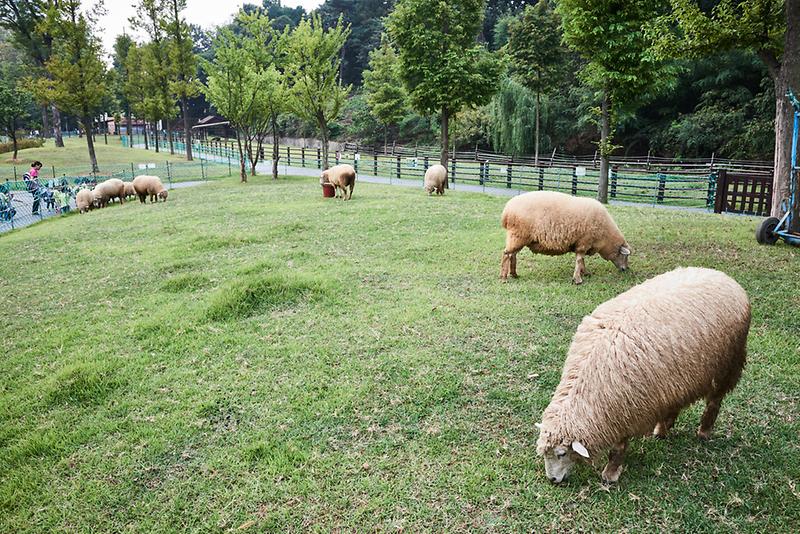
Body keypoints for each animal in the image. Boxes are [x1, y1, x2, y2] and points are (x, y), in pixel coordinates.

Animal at [500, 192, 632, 284]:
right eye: (625, 255)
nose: (625, 269)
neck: (605, 236)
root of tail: (507, 210)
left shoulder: (581, 244)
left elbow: (582, 260)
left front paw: (584, 273)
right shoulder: (584, 242)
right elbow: (579, 260)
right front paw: (578, 279)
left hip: (517, 238)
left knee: (512, 255)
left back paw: (514, 274)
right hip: (518, 236)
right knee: (506, 254)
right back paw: (504, 278)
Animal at [536, 268, 752, 486]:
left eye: (562, 453)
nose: (552, 479)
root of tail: (722, 275)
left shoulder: (626, 411)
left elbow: (619, 448)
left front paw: (610, 474)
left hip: (730, 363)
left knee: (715, 400)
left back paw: (704, 432)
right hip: (677, 377)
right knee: (675, 402)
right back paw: (662, 430)